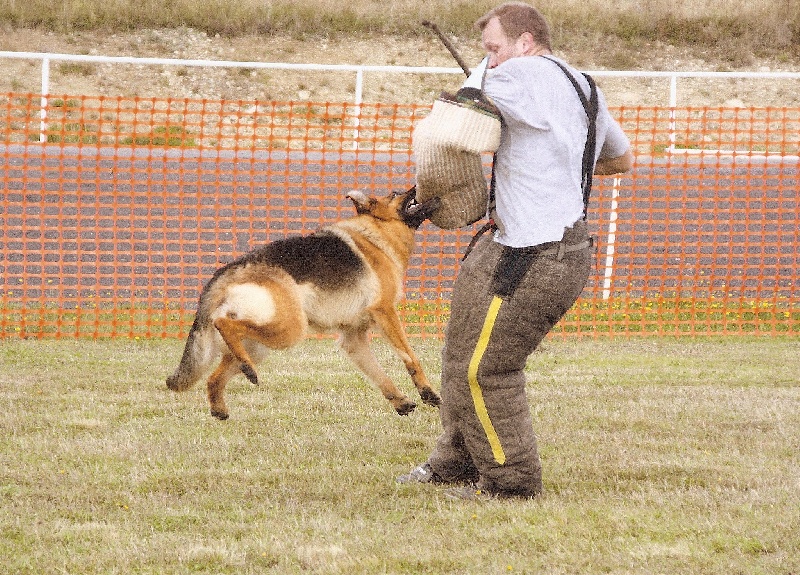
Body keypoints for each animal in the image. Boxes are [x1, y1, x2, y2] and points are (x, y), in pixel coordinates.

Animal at [166, 188, 440, 418]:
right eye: (395, 193)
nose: (417, 186)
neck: (377, 232)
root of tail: (228, 272)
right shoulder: (386, 313)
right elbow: (410, 357)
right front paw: (428, 393)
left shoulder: (354, 339)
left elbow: (379, 375)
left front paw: (400, 402)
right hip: (290, 329)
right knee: (223, 324)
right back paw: (245, 370)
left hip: (260, 345)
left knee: (214, 377)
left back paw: (224, 403)